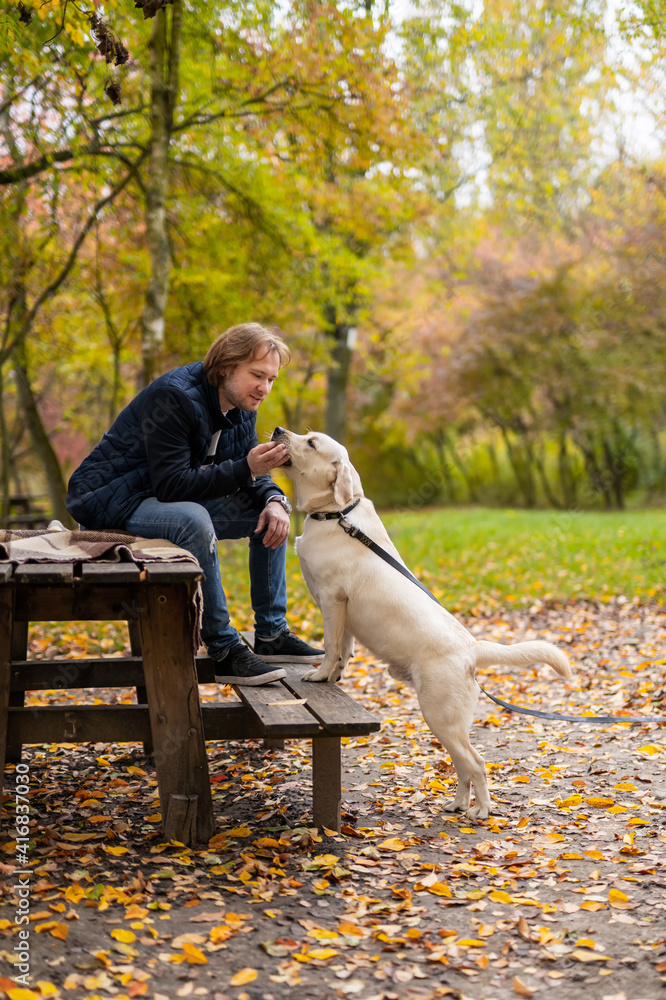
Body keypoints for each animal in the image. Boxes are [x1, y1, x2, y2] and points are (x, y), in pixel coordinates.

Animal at [270, 426, 572, 816]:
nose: (278, 430)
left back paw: (481, 811)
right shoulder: (344, 610)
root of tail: (472, 648)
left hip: (439, 715)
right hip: (446, 723)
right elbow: (344, 650)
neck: (337, 514)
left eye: (311, 443)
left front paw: (320, 676)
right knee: (463, 767)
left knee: (476, 764)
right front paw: (334, 676)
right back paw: (458, 804)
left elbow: (332, 644)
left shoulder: (333, 599)